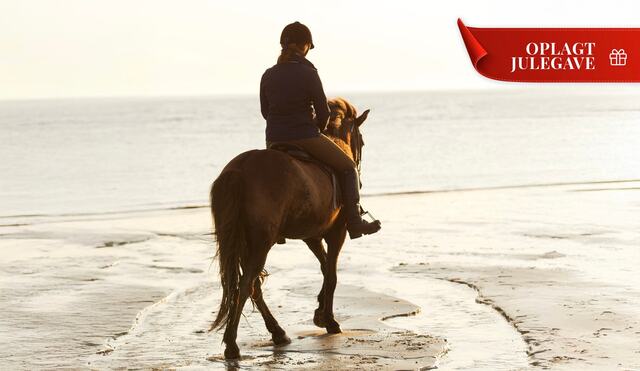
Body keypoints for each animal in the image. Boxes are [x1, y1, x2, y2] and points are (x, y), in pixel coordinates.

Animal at [210, 97, 370, 358]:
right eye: (362, 141)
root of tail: (240, 168)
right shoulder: (336, 233)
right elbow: (332, 274)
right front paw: (329, 320)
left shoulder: (311, 236)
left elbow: (325, 268)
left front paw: (320, 313)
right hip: (260, 243)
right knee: (246, 285)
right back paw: (233, 344)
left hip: (243, 242)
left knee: (253, 286)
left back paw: (277, 332)